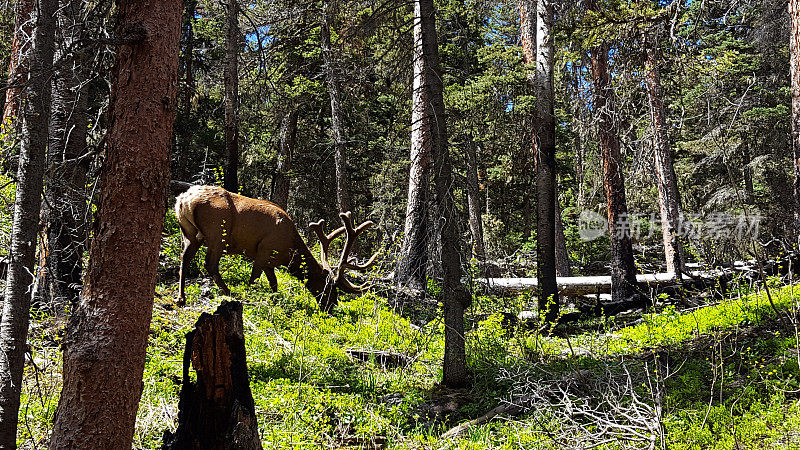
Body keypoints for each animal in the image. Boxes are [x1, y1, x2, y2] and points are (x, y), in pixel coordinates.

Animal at [175, 184, 378, 310]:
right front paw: (252, 295)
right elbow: (254, 279)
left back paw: (181, 298)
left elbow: (274, 284)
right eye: (329, 286)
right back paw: (229, 292)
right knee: (209, 264)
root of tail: (184, 200)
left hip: (190, 234)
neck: (289, 252)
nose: (332, 305)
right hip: (218, 232)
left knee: (184, 258)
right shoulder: (263, 253)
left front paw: (274, 299)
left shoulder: (270, 263)